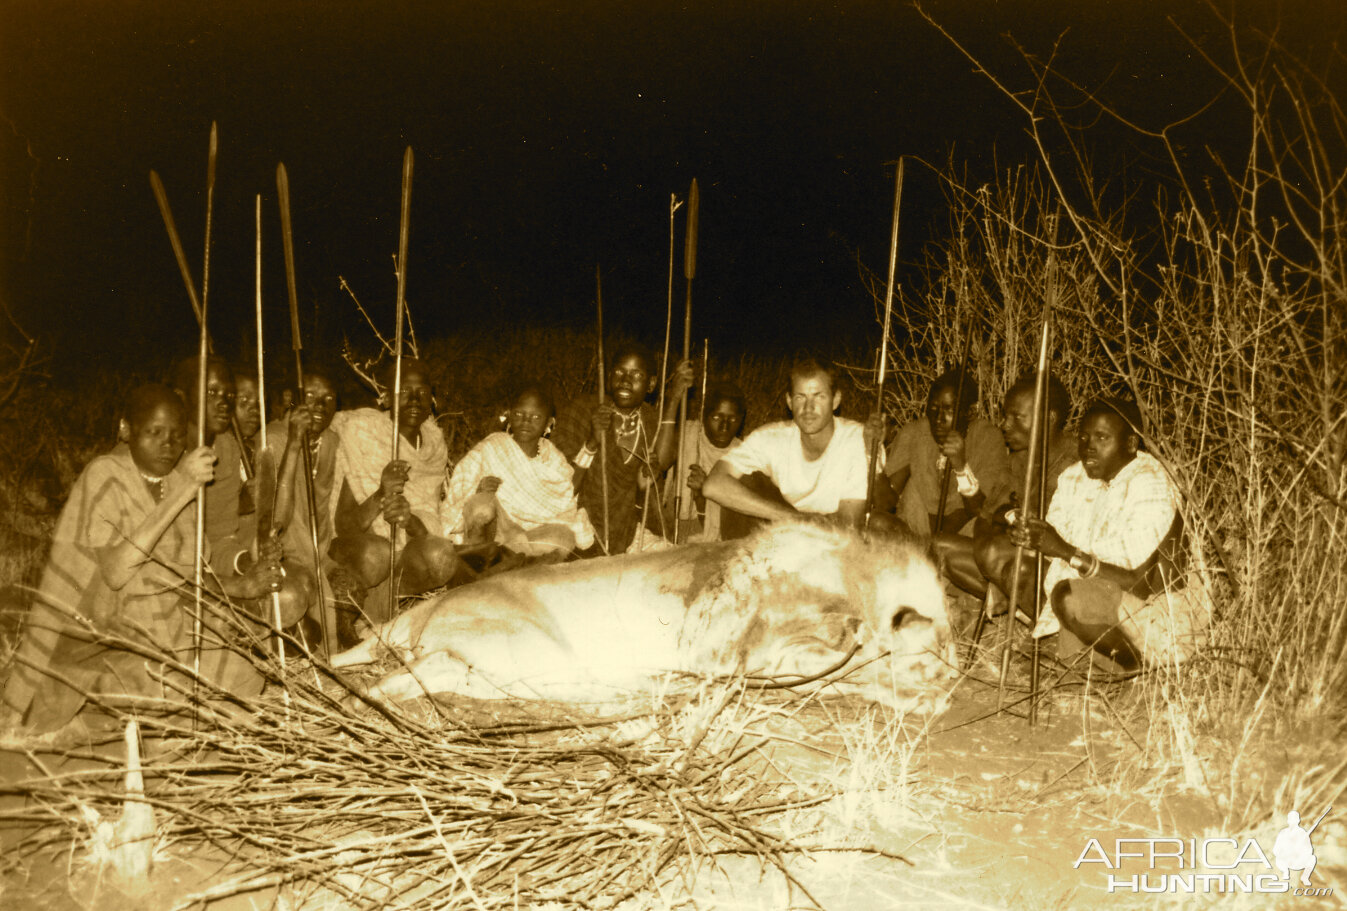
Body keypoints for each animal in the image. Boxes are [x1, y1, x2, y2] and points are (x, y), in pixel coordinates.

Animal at [328, 520, 959, 711]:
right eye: (933, 652)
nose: (950, 683)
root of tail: (419, 617)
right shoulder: (723, 650)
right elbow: (828, 661)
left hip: (470, 661)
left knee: (405, 671)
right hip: (535, 654)